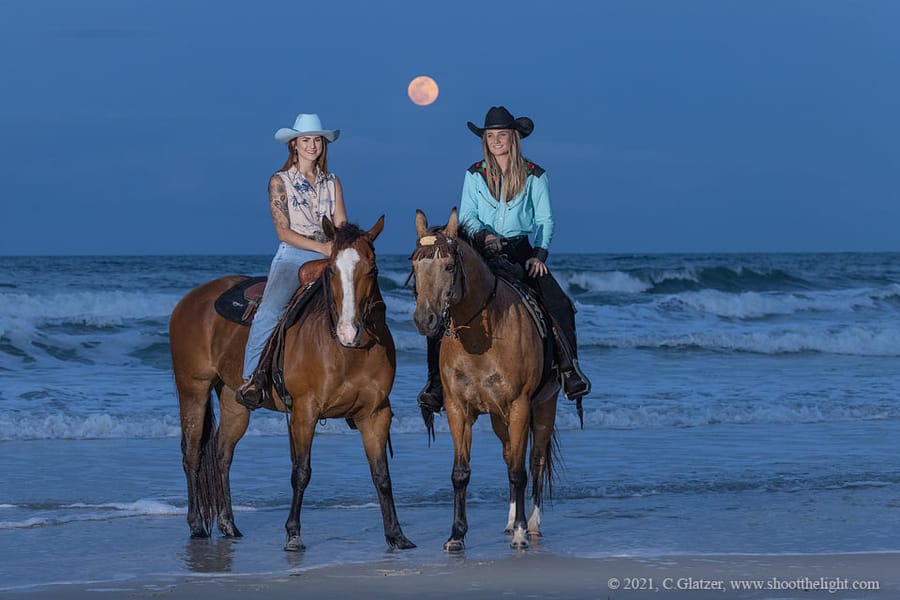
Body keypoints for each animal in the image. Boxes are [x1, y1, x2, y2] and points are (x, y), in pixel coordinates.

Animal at [169, 217, 414, 552]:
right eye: (330, 271)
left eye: (373, 269)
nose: (349, 331)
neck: (345, 350)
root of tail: (190, 299)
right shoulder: (304, 412)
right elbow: (301, 472)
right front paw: (293, 534)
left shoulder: (376, 414)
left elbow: (382, 475)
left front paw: (396, 535)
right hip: (193, 389)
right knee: (192, 453)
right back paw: (195, 525)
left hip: (234, 401)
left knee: (222, 455)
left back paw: (228, 524)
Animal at [410, 209, 564, 552]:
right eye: (414, 265)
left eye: (449, 265)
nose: (425, 320)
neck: (480, 339)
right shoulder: (458, 409)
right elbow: (461, 473)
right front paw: (456, 535)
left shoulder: (520, 406)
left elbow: (521, 471)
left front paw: (521, 532)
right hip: (498, 417)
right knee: (509, 456)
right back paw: (510, 520)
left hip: (544, 407)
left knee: (535, 460)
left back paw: (531, 523)